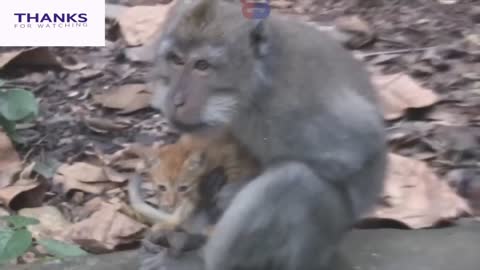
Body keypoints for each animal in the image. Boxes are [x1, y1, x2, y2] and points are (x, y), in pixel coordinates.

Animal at [146, 0, 386, 270]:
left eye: (202, 65)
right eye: (176, 60)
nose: (176, 101)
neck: (255, 86)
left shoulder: (290, 107)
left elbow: (358, 147)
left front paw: (229, 192)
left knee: (295, 181)